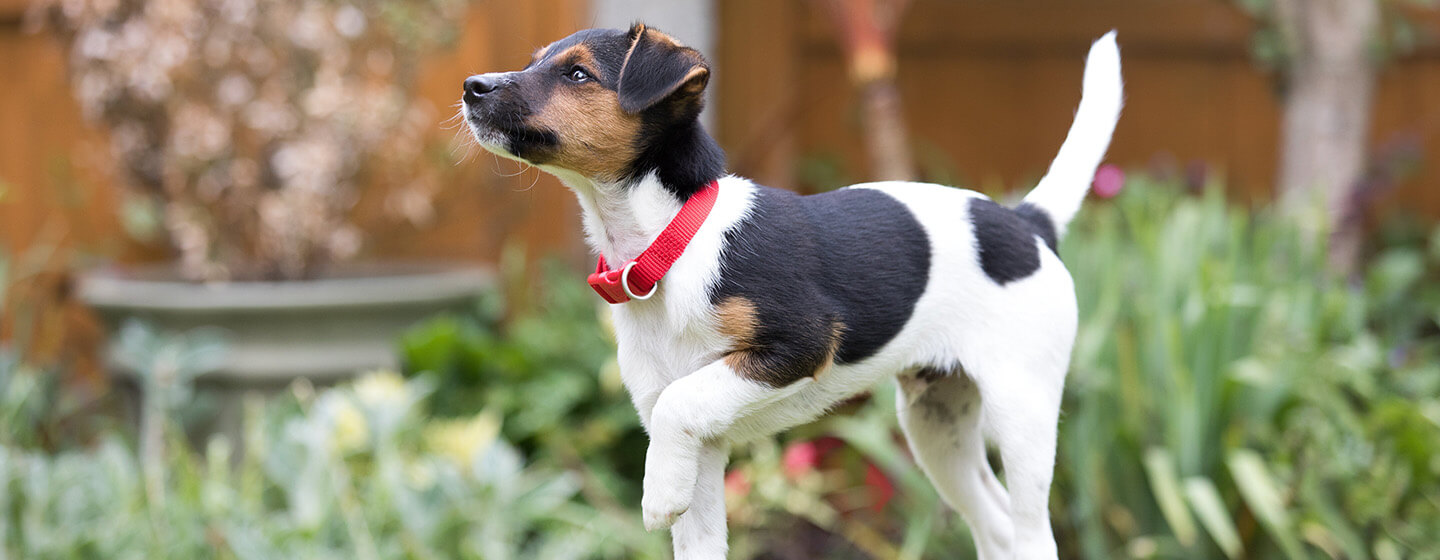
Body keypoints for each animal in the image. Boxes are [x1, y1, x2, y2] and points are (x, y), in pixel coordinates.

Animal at [463, 22, 1123, 558]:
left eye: (577, 74)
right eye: (535, 61)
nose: (473, 86)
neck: (673, 244)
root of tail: (1025, 223)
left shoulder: (798, 345)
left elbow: (681, 402)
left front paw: (656, 495)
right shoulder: (702, 451)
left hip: (1022, 410)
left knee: (1031, 532)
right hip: (938, 426)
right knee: (997, 527)